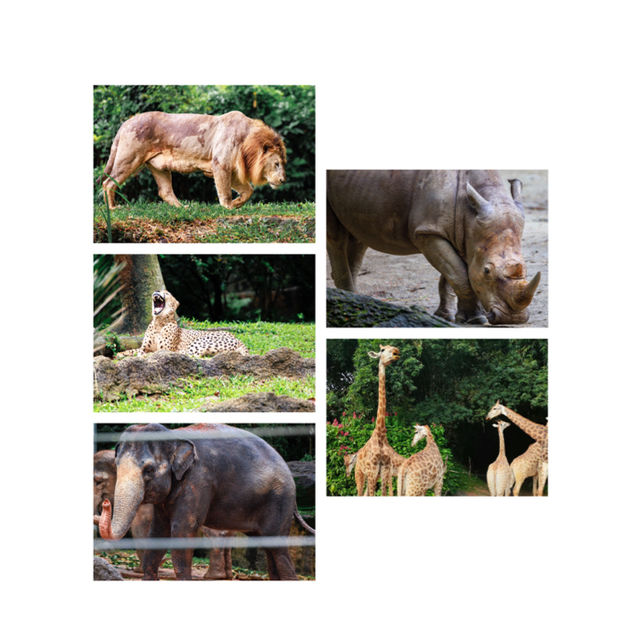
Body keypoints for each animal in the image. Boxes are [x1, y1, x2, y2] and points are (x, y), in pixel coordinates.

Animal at [97, 424, 312, 580]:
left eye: (149, 470)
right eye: (117, 466)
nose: (106, 502)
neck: (174, 436)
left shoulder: (198, 480)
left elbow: (182, 531)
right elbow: (158, 532)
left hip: (279, 501)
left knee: (278, 550)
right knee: (270, 550)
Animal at [101, 110, 286, 210]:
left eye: (282, 164)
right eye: (276, 164)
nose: (283, 180)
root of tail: (126, 122)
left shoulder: (231, 170)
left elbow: (248, 191)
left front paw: (237, 203)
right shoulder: (220, 164)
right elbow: (224, 191)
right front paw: (228, 207)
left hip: (159, 167)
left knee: (165, 191)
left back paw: (183, 208)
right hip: (129, 159)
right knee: (108, 183)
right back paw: (112, 208)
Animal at [119, 292, 249, 358]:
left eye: (166, 293)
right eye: (157, 291)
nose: (156, 292)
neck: (159, 322)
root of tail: (237, 338)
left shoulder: (165, 349)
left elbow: (154, 352)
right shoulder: (144, 347)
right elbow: (133, 350)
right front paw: (120, 354)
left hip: (200, 341)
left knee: (192, 354)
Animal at [350, 344, 400, 496]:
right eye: (382, 350)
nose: (396, 352)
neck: (381, 435)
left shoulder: (384, 472)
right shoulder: (372, 471)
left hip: (372, 477)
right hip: (360, 475)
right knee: (360, 493)